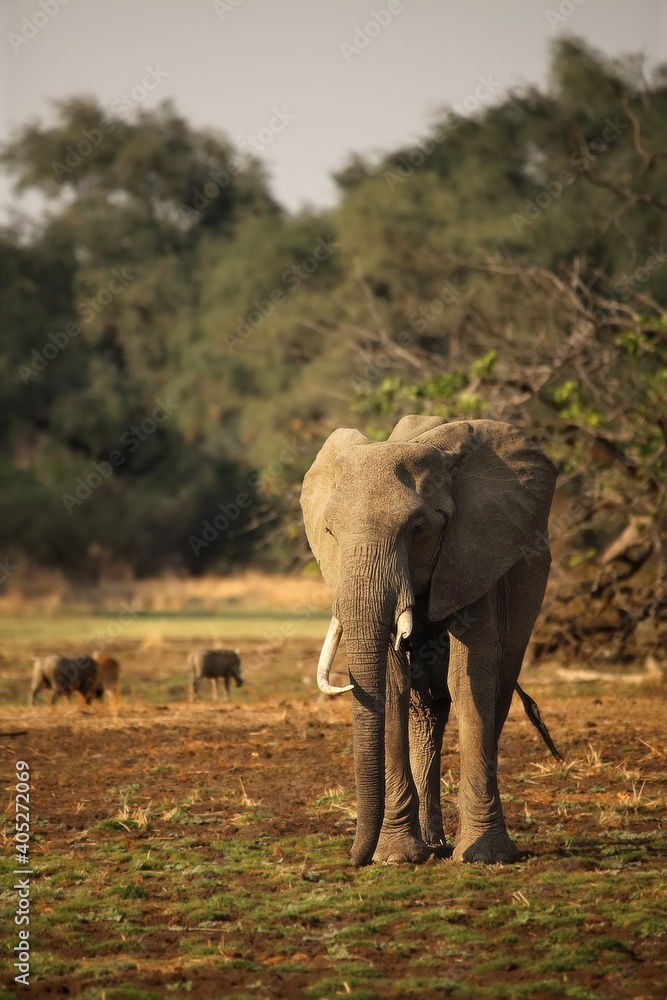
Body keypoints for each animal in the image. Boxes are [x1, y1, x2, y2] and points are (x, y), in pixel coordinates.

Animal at [300, 415, 561, 867]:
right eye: (330, 532)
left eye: (418, 529)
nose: (353, 859)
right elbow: (393, 684)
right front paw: (396, 857)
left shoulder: (475, 554)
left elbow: (469, 678)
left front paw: (484, 856)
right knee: (425, 714)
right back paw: (432, 842)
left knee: (496, 694)